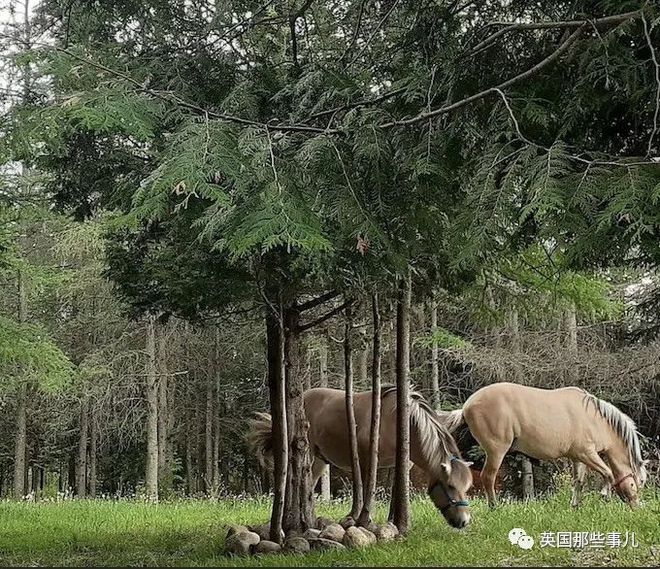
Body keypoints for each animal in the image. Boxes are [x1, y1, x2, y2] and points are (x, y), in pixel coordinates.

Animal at [249, 386, 474, 528]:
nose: (464, 521)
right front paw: (362, 518)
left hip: (319, 461)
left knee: (309, 484)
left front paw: (392, 519)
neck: (397, 420)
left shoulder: (399, 465)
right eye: (450, 487)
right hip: (307, 455)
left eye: (466, 487)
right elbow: (366, 490)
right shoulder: (367, 461)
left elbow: (396, 490)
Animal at [440, 382, 648, 506]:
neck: (594, 418)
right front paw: (605, 493)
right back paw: (494, 507)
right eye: (639, 482)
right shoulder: (587, 454)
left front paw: (575, 506)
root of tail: (467, 406)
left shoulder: (578, 458)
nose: (637, 506)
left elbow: (578, 482)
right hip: (496, 451)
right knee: (488, 478)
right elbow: (608, 473)